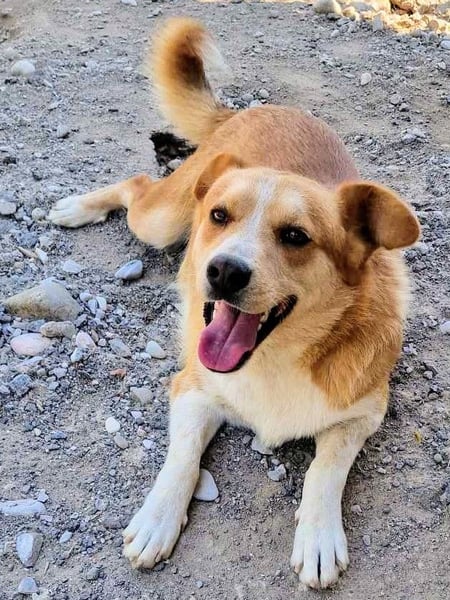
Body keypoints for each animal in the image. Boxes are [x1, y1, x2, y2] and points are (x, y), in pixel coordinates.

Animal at [48, 18, 420, 589]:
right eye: (220, 216)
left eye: (295, 236)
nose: (222, 271)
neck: (272, 359)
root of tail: (252, 109)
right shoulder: (191, 389)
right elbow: (182, 458)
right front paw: (157, 518)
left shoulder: (364, 412)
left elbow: (324, 468)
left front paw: (318, 535)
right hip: (161, 220)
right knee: (138, 185)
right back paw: (77, 207)